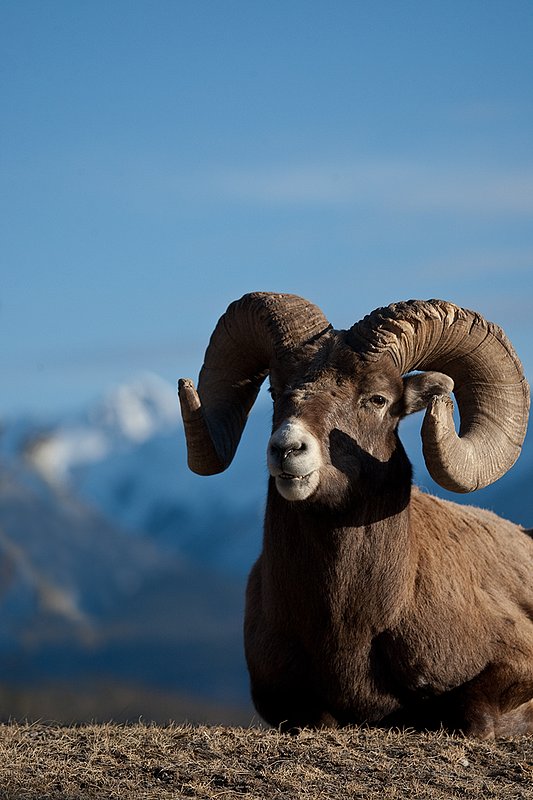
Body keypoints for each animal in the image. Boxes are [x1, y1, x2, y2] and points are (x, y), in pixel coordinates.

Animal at [178, 292, 533, 738]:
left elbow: (472, 717)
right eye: (275, 391)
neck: (351, 625)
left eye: (377, 399)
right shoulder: (280, 699)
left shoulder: (515, 665)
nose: (287, 449)